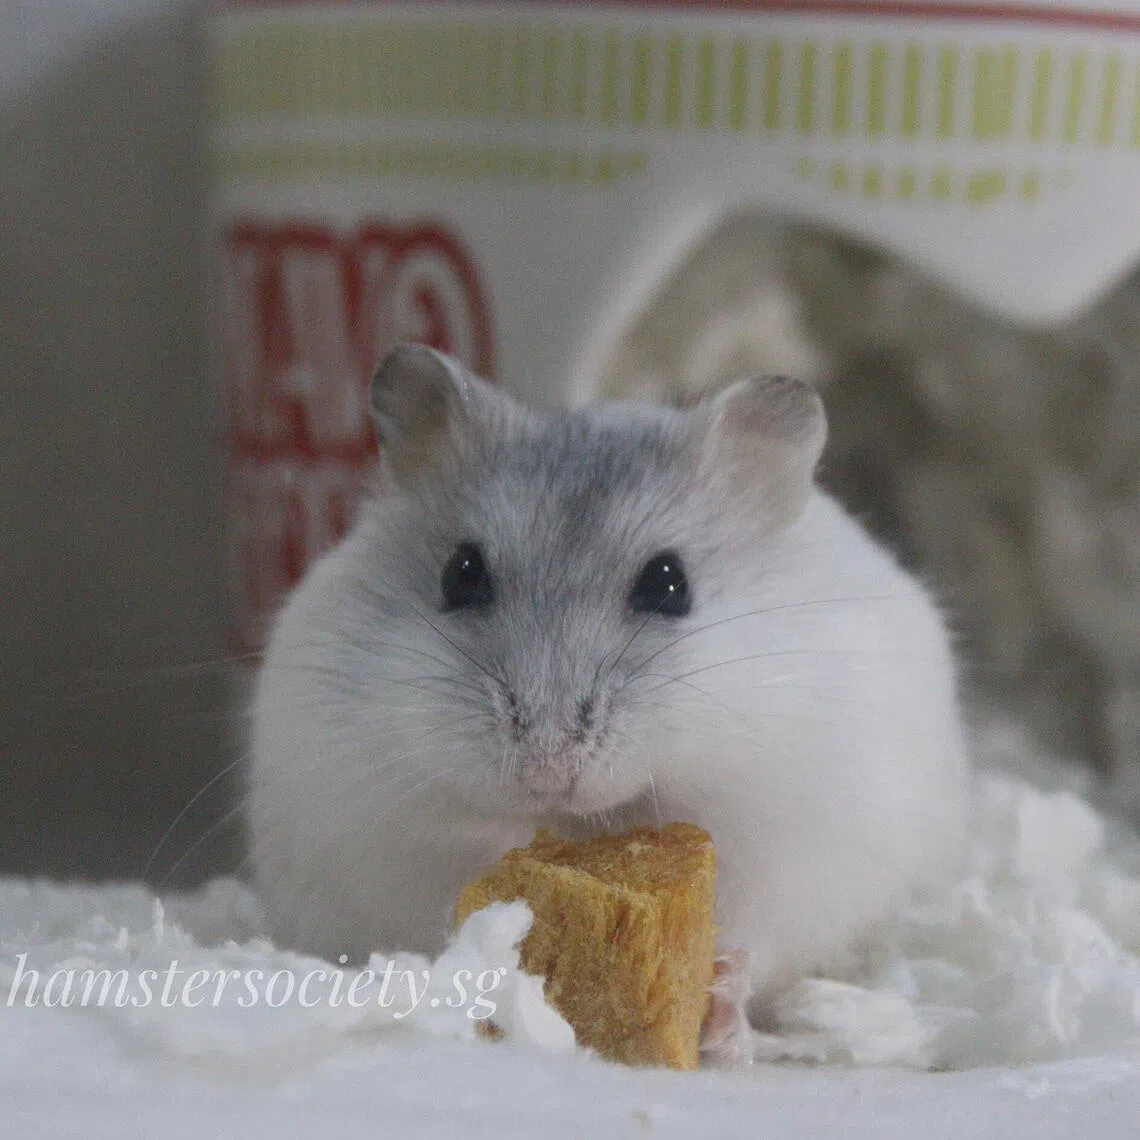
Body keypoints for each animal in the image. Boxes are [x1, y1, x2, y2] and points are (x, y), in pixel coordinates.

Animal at [249, 344, 969, 1002]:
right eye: (460, 574)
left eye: (670, 584)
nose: (545, 770)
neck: (587, 820)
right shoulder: (370, 808)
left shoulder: (799, 838)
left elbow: (755, 933)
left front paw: (722, 1007)